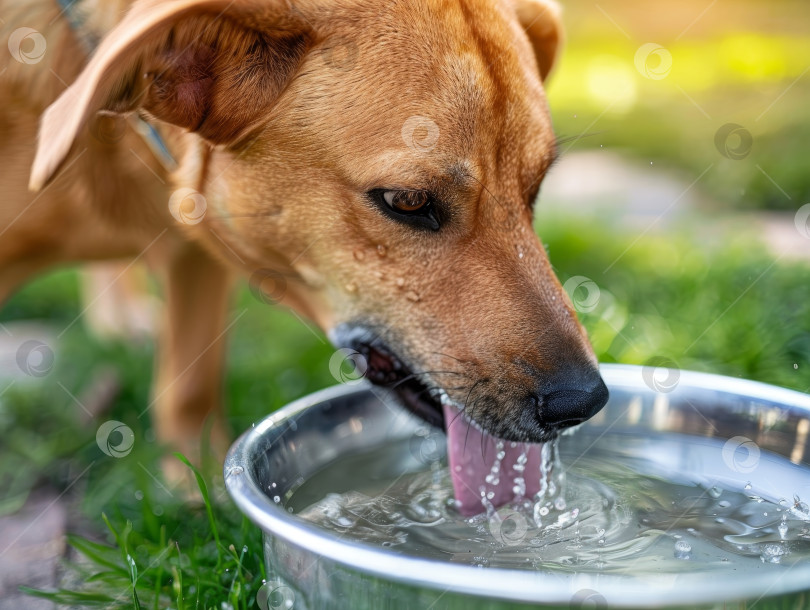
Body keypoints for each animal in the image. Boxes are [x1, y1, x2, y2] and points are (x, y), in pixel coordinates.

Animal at [0, 0, 608, 470]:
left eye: (533, 190)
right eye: (408, 202)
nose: (585, 402)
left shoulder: (195, 246)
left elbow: (190, 391)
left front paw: (202, 492)